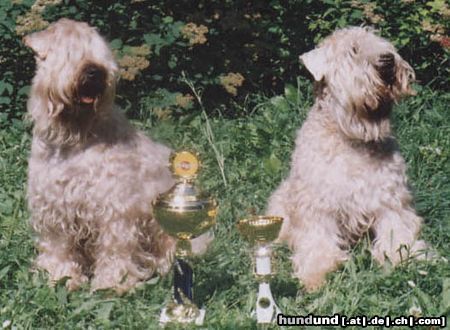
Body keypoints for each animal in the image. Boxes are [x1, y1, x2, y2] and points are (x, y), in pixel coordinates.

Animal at [22, 18, 175, 292]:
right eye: (69, 51)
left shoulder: (115, 206)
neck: (74, 138)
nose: (95, 72)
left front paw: (113, 284)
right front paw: (61, 277)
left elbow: (115, 248)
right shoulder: (54, 205)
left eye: (101, 52)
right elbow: (58, 247)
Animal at [268, 27, 428, 292]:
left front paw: (408, 259)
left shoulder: (390, 199)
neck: (352, 141)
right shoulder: (317, 205)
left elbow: (397, 232)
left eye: (384, 44)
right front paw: (316, 274)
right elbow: (317, 241)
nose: (387, 60)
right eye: (353, 50)